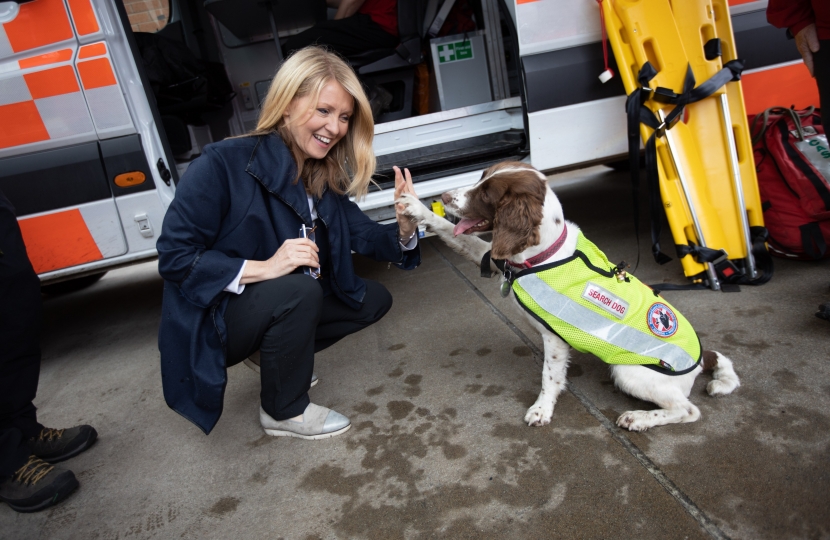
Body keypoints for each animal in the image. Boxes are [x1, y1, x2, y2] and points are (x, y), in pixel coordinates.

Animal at [398, 160, 740, 430]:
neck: (543, 254)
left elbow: (549, 376)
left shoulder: (554, 336)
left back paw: (638, 418)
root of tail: (702, 359)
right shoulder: (496, 258)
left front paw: (541, 410)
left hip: (630, 372)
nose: (443, 196)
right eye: (481, 176)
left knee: (688, 410)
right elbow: (450, 231)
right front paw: (416, 207)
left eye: (485, 194)